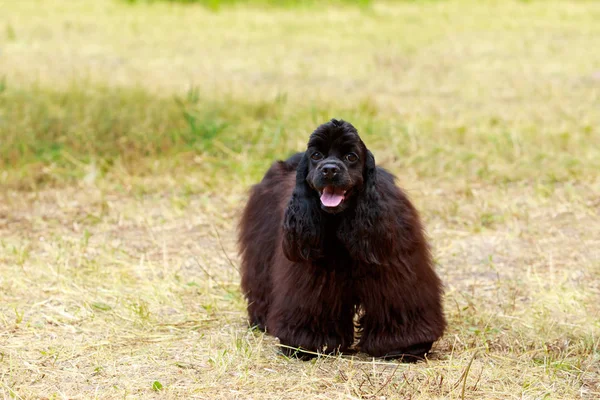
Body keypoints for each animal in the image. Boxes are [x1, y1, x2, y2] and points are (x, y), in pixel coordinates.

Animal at [239, 120, 446, 360]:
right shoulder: (313, 271)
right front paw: (307, 344)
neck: (342, 217)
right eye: (316, 155)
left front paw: (406, 346)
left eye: (351, 156)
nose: (329, 169)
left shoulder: (394, 266)